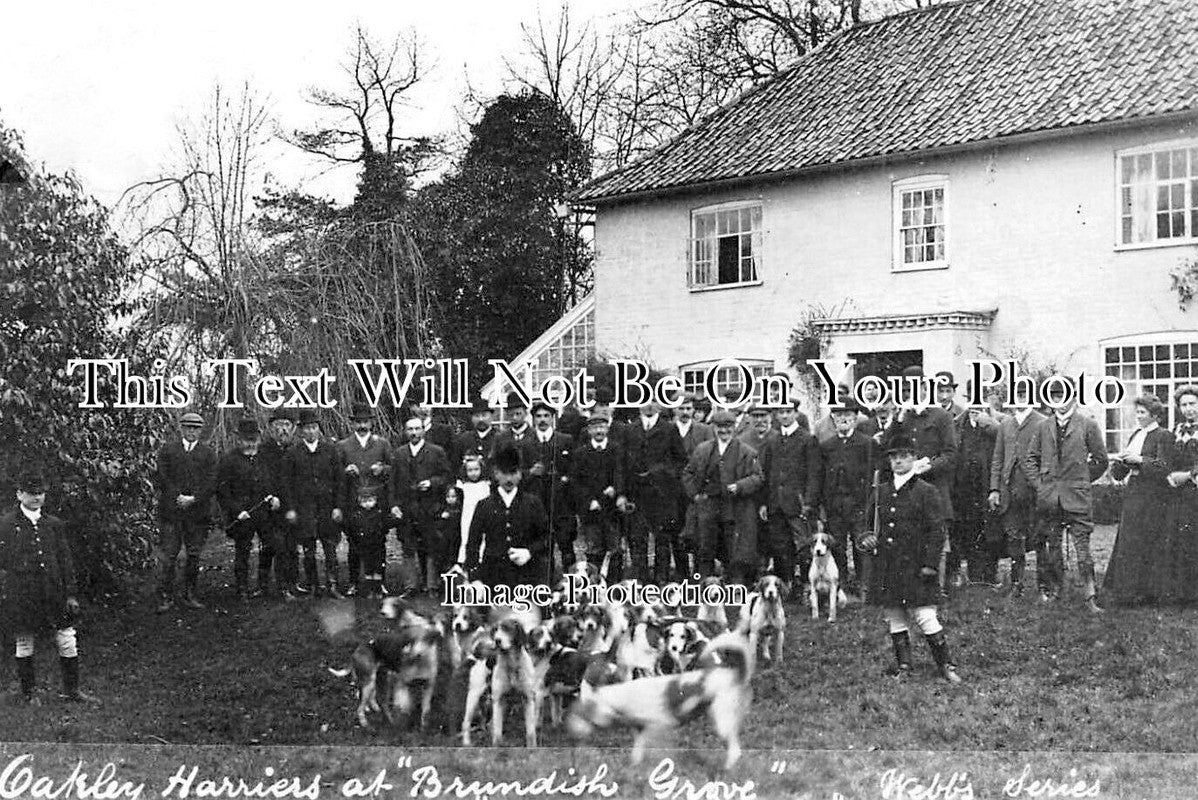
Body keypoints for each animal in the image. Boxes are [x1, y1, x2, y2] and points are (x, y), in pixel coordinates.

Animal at [491, 617, 539, 747]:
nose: (497, 640)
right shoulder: (499, 700)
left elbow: (530, 733)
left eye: (507, 628)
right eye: (495, 630)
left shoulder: (528, 699)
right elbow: (497, 735)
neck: (512, 665)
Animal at [565, 632, 752, 766]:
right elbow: (637, 754)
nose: (570, 734)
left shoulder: (660, 729)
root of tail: (735, 672)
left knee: (735, 751)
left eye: (580, 713)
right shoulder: (641, 731)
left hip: (721, 722)